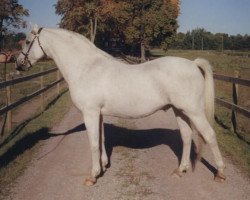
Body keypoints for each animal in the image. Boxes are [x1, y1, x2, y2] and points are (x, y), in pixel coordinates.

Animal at [16, 25, 226, 186]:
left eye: (27, 41)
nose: (18, 64)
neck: (86, 68)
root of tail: (193, 64)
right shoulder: (98, 114)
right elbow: (101, 139)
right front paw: (103, 166)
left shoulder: (90, 113)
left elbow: (93, 143)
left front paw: (92, 176)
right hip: (179, 111)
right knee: (186, 137)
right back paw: (180, 170)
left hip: (194, 111)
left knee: (210, 136)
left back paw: (220, 173)